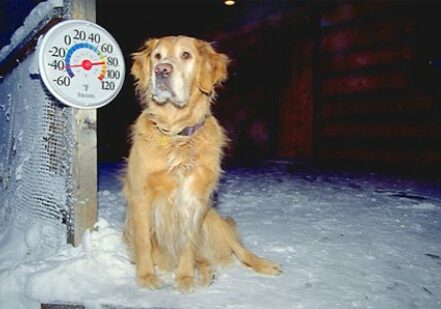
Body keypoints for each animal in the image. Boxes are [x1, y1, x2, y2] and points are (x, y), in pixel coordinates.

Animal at [122, 35, 280, 292]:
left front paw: (185, 279)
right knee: (203, 258)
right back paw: (206, 272)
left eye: (186, 55)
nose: (161, 70)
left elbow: (188, 243)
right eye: (157, 56)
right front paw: (146, 277)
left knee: (240, 251)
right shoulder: (140, 196)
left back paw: (262, 265)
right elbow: (143, 242)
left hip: (216, 220)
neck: (177, 134)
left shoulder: (195, 198)